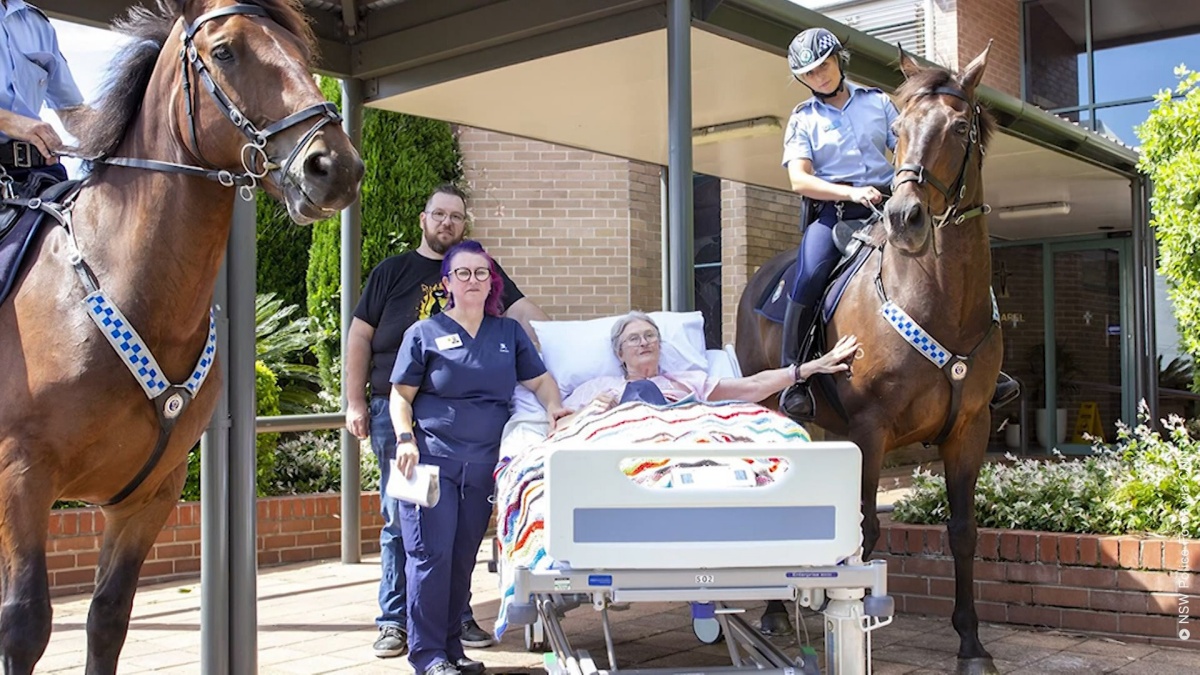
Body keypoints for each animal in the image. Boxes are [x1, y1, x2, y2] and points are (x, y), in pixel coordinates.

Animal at [0, 2, 360, 667]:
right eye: (225, 52)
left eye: (303, 52)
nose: (336, 167)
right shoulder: (22, 477)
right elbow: (25, 624)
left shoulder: (151, 496)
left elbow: (108, 618)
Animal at [739, 47, 1003, 672]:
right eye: (900, 130)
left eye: (960, 127)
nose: (905, 216)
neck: (940, 302)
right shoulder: (869, 429)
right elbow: (866, 532)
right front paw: (857, 634)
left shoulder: (970, 428)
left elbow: (963, 531)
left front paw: (971, 643)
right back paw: (774, 613)